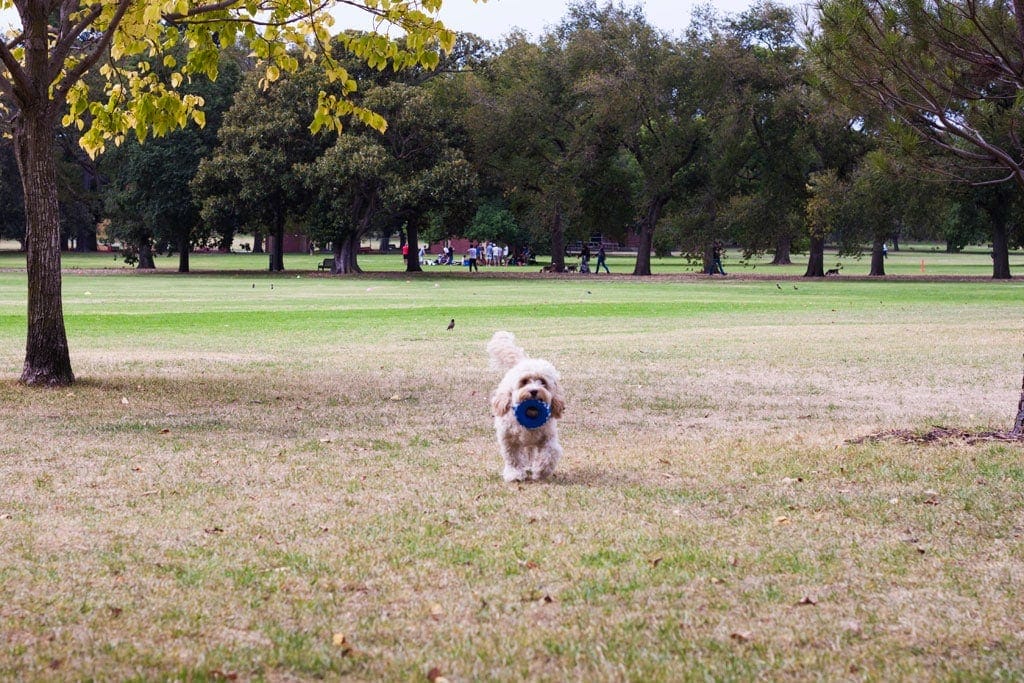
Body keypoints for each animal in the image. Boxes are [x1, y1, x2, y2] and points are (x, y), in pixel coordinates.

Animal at [487, 329, 569, 481]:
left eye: (542, 382)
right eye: (524, 381)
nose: (534, 391)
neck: (531, 415)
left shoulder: (548, 437)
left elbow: (550, 452)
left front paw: (541, 470)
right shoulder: (508, 439)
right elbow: (513, 458)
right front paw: (514, 474)